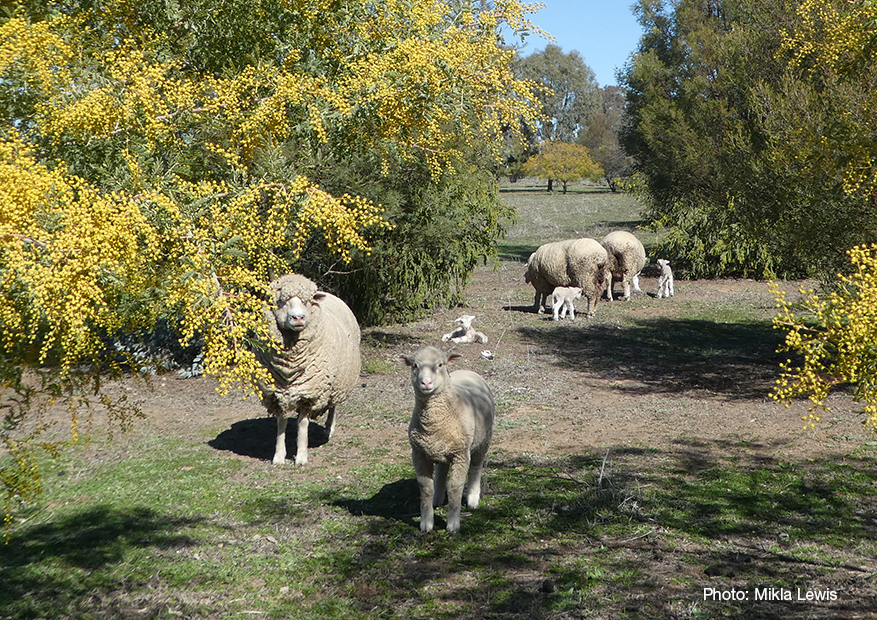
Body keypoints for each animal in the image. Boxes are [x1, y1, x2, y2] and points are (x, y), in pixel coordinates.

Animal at [252, 274, 362, 464]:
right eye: (281, 301)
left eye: (306, 302)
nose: (298, 318)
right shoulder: (276, 394)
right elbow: (281, 423)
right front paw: (279, 456)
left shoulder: (310, 392)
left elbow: (303, 424)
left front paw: (301, 457)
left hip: (336, 382)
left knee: (333, 406)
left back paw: (329, 429)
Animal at [402, 344, 492, 532]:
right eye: (415, 366)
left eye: (440, 365)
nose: (426, 383)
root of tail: (467, 370)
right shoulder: (418, 453)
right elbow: (425, 488)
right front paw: (426, 523)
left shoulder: (461, 454)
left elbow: (455, 488)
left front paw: (453, 524)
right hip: (441, 449)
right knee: (442, 471)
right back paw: (437, 498)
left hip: (482, 442)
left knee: (476, 468)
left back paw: (473, 499)